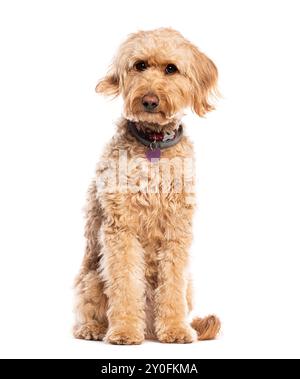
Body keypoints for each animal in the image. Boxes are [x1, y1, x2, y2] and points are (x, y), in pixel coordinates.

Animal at [74, 28, 220, 346]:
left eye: (171, 69)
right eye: (139, 65)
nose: (150, 100)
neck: (153, 144)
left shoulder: (177, 230)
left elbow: (172, 284)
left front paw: (176, 329)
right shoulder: (121, 229)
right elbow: (126, 283)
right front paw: (125, 331)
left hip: (190, 285)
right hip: (91, 276)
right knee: (91, 306)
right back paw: (93, 328)